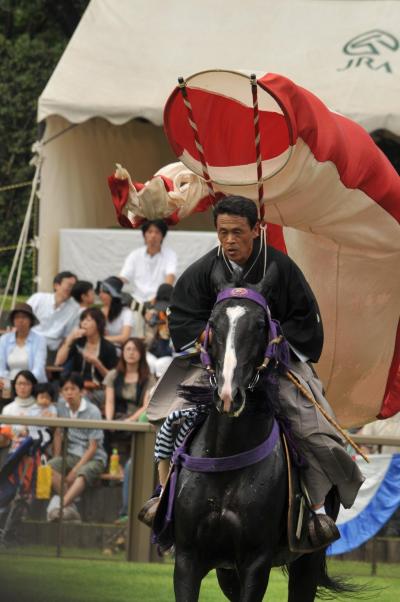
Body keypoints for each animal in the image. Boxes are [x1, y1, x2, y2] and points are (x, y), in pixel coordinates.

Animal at [173, 282, 348, 600]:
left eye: (259, 326)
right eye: (212, 323)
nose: (228, 395)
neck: (225, 463)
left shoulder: (255, 561)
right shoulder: (187, 557)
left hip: (308, 558)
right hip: (226, 571)